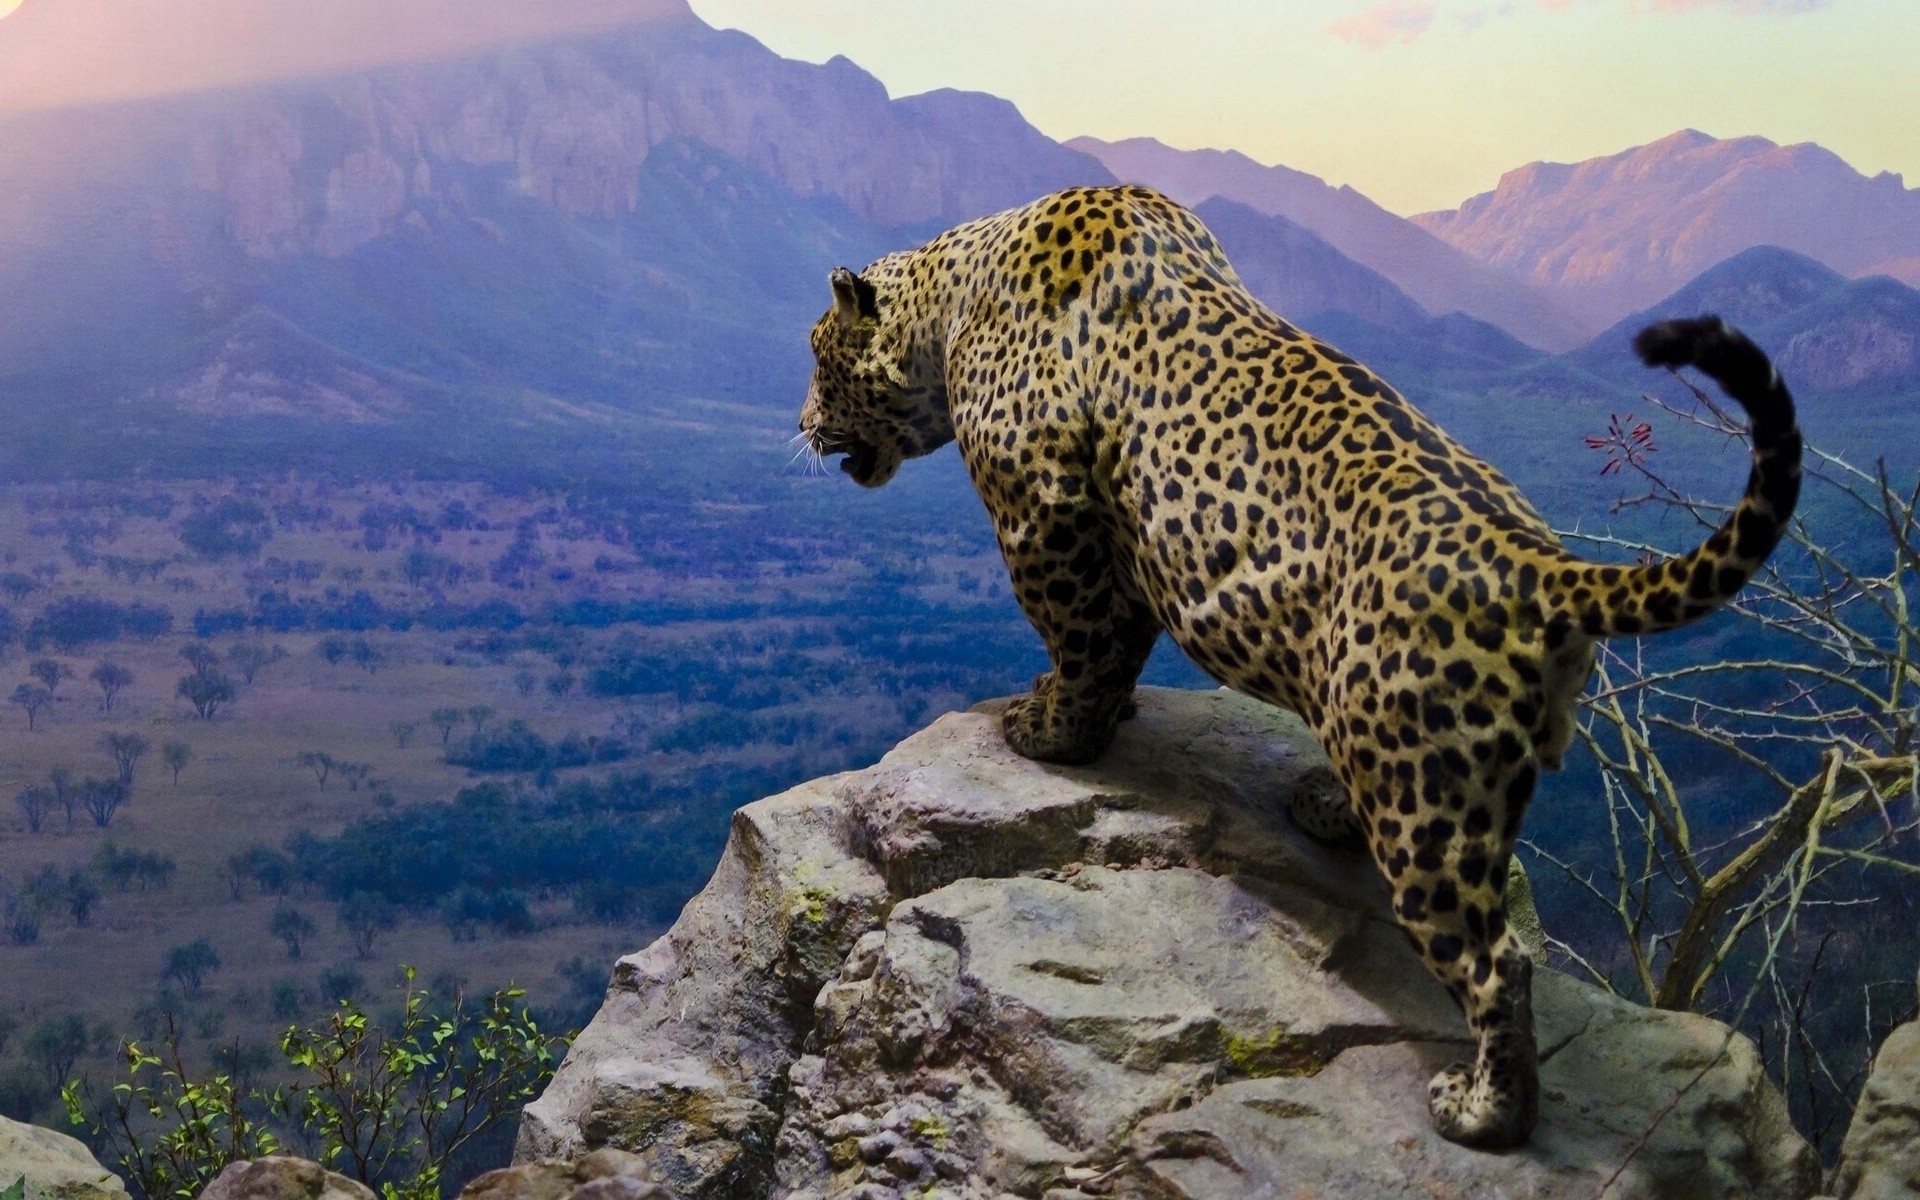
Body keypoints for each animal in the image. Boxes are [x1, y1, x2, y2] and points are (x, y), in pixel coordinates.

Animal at [798, 184, 1801, 1149]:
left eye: (817, 359)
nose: (802, 425)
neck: (952, 298)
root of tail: (1538, 563)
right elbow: (1117, 641)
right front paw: (1102, 712)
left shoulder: (1044, 510)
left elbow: (1081, 636)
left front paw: (1054, 731)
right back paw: (1323, 804)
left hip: (1424, 798)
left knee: (1496, 962)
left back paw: (1486, 1113)